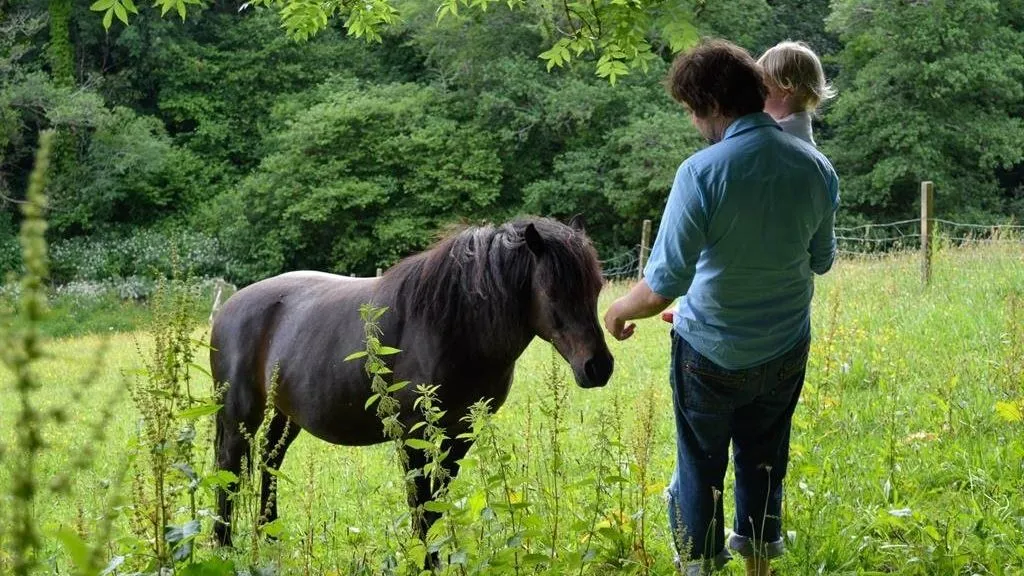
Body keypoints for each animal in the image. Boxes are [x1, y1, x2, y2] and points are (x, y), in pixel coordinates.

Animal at [209, 216, 615, 554]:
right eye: (553, 292)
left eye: (596, 287)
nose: (598, 367)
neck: (452, 326)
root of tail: (229, 307)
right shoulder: (412, 433)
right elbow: (420, 502)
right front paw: (426, 558)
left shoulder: (459, 433)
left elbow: (438, 501)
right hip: (239, 413)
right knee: (229, 467)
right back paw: (223, 545)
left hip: (286, 413)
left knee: (270, 459)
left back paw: (269, 536)